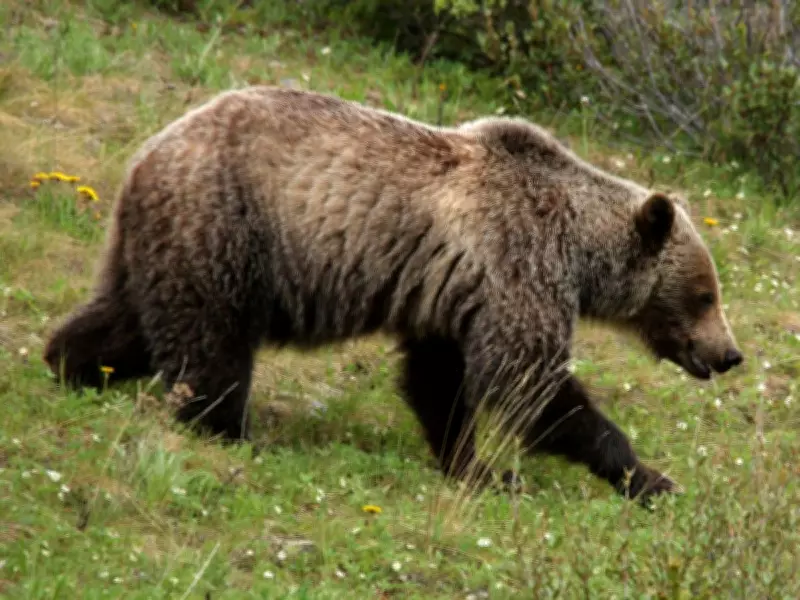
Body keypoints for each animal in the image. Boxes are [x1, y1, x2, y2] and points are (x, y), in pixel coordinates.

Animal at [43, 86, 744, 504]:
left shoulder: (454, 294)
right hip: (229, 230)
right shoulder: (518, 264)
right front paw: (646, 475)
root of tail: (147, 153)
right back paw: (230, 430)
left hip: (166, 245)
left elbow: (440, 381)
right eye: (705, 295)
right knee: (211, 345)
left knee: (130, 322)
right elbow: (528, 380)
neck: (578, 249)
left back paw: (71, 364)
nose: (730, 354)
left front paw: (478, 467)